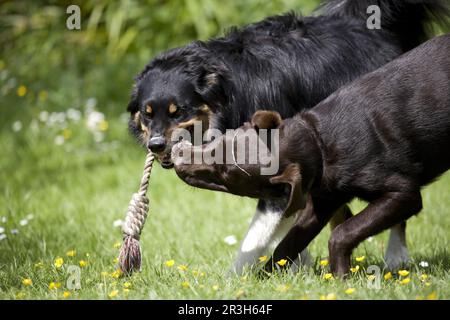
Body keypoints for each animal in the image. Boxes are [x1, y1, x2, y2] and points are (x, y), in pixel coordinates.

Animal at [128, 0, 448, 274]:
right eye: (147, 113)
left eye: (178, 111)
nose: (156, 145)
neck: (228, 91)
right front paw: (295, 268)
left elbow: (257, 234)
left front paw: (236, 278)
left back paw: (396, 256)